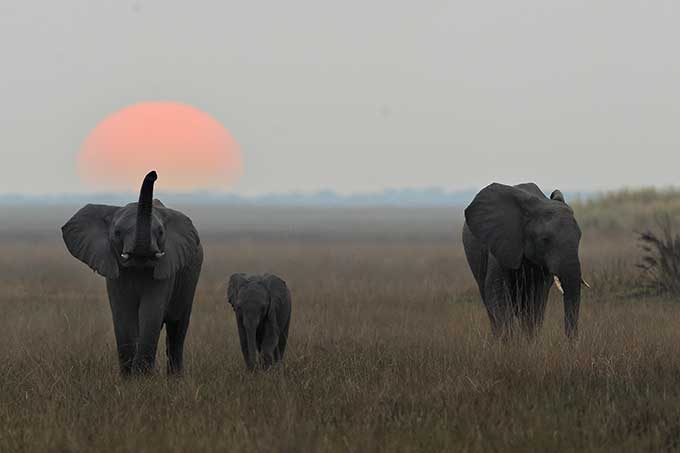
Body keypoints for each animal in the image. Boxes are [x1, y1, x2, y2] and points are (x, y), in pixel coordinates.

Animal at [61, 170, 202, 374]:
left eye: (160, 232)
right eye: (117, 232)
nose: (154, 174)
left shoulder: (166, 269)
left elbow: (150, 312)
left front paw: (142, 377)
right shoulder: (115, 270)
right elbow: (123, 314)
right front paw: (129, 377)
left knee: (177, 328)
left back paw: (176, 377)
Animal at [462, 182, 588, 338]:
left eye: (579, 237)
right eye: (544, 240)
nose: (571, 342)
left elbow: (535, 302)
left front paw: (528, 341)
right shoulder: (502, 244)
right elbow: (497, 294)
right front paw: (509, 342)